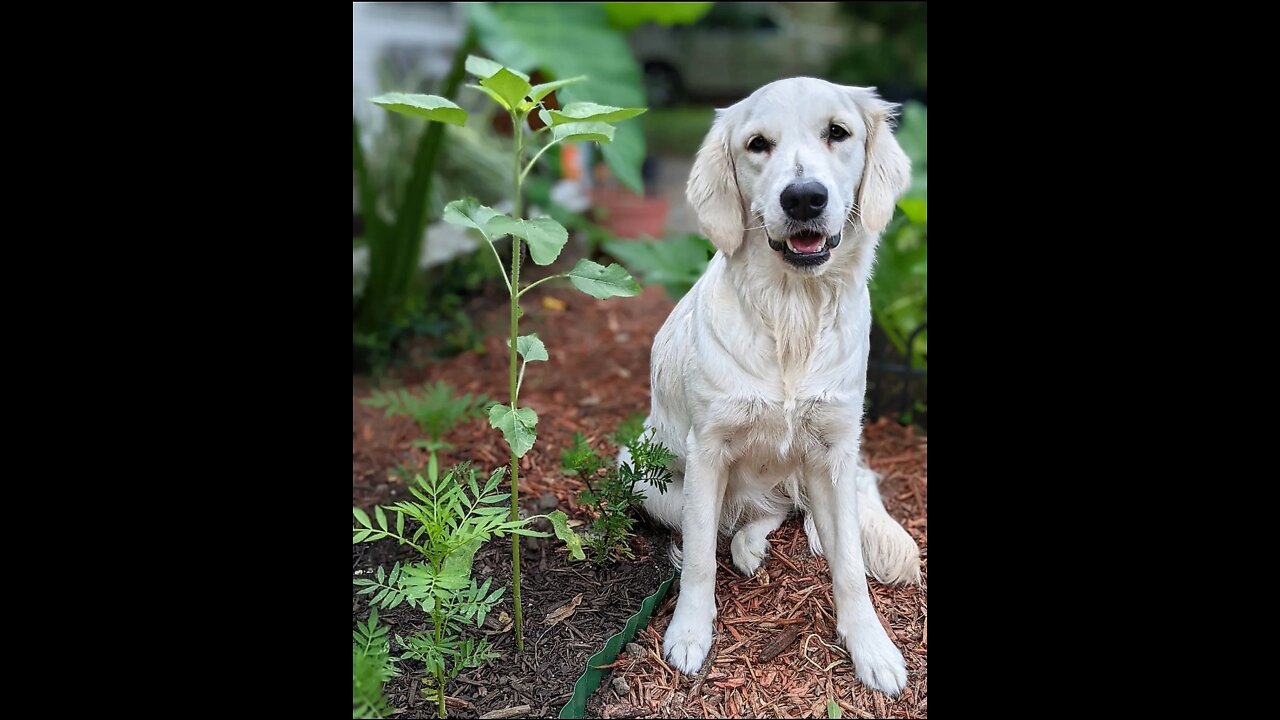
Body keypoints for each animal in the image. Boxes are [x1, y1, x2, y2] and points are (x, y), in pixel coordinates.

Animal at [627, 75, 921, 691]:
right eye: (757, 144)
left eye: (838, 132)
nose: (803, 197)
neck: (792, 312)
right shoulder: (708, 450)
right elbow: (697, 557)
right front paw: (690, 633)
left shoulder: (836, 449)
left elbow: (851, 566)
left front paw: (871, 646)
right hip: (641, 476)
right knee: (736, 518)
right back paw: (744, 545)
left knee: (780, 511)